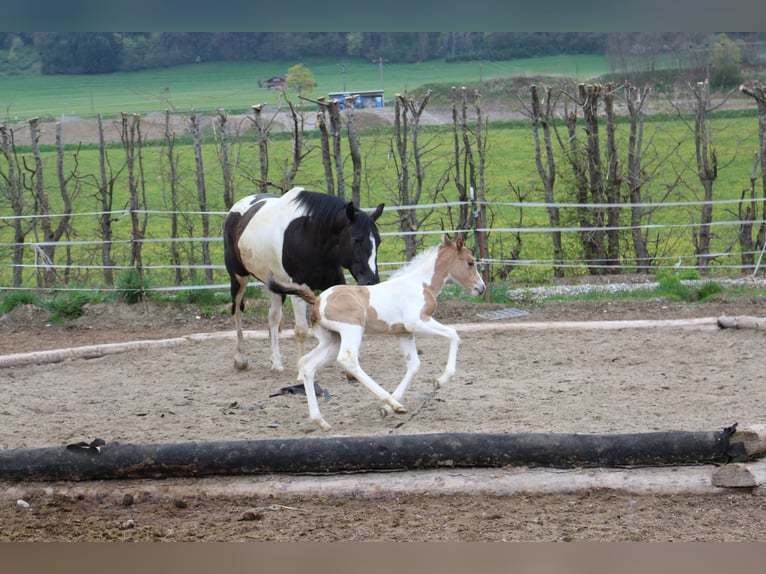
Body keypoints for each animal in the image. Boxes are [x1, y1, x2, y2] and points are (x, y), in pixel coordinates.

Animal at [223, 186, 384, 372]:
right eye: (356, 239)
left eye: (378, 241)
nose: (371, 281)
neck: (312, 236)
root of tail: (234, 211)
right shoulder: (299, 287)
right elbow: (301, 331)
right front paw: (302, 369)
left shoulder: (335, 282)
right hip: (238, 278)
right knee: (237, 311)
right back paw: (241, 358)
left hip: (275, 286)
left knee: (273, 318)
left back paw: (276, 362)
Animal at [268, 234, 486, 431]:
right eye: (470, 262)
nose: (481, 288)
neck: (421, 285)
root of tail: (318, 300)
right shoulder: (417, 322)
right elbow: (454, 334)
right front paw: (439, 381)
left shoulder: (404, 333)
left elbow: (414, 365)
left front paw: (386, 409)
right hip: (352, 331)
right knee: (348, 359)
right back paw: (394, 404)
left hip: (332, 340)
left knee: (307, 364)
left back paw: (321, 422)